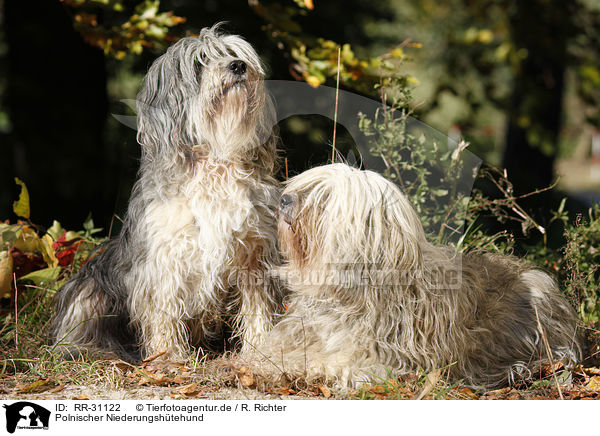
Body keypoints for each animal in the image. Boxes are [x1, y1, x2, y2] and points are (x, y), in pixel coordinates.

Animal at [50, 24, 282, 362]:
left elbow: (258, 306)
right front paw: (168, 356)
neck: (215, 164)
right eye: (199, 64)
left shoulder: (255, 252)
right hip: (90, 287)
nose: (238, 66)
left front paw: (262, 350)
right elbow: (163, 307)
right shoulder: (164, 257)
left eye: (233, 53)